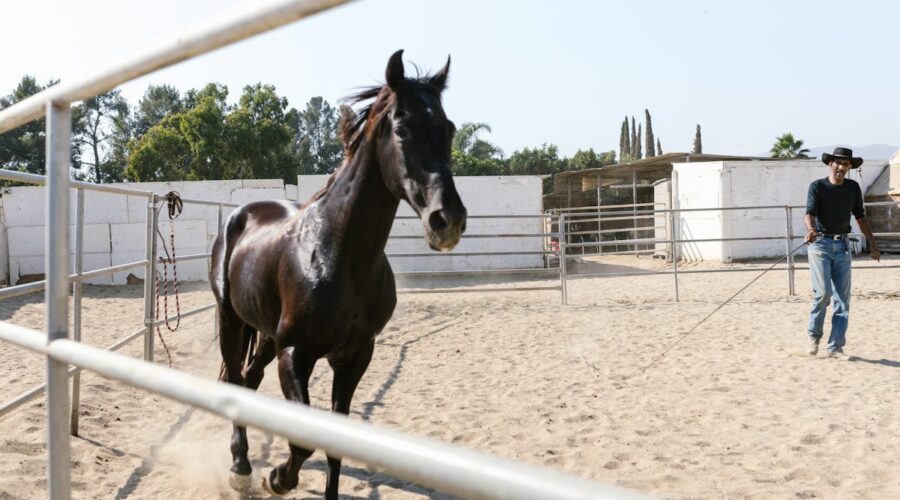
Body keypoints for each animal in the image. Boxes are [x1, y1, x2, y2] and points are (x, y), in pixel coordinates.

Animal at [209, 50, 466, 498]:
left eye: (448, 128)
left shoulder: (354, 356)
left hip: (265, 334)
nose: (447, 219)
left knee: (249, 380)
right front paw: (278, 478)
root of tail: (240, 214)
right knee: (234, 381)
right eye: (402, 127)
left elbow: (334, 442)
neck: (338, 255)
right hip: (231, 321)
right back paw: (241, 467)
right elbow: (304, 440)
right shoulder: (295, 353)